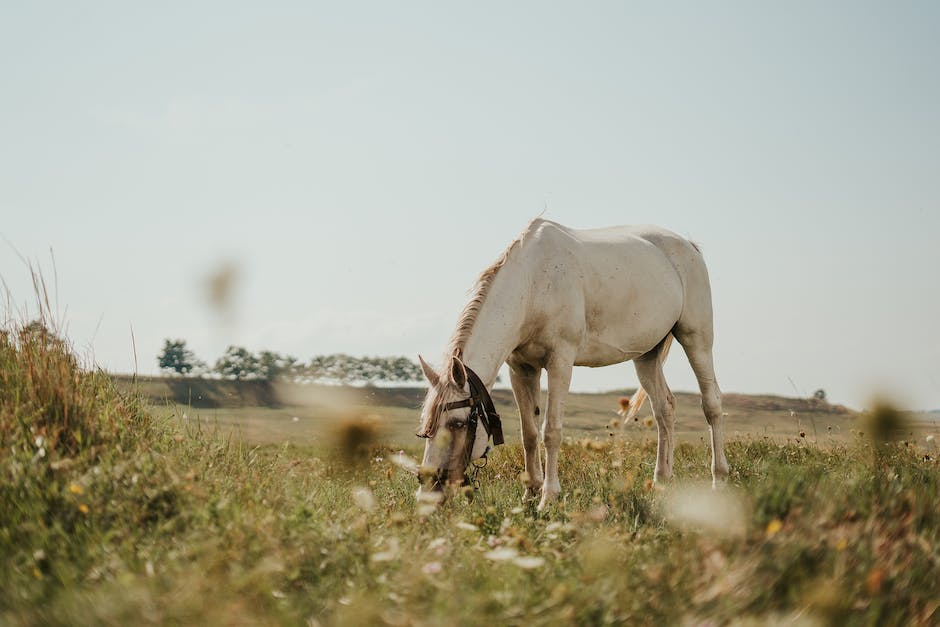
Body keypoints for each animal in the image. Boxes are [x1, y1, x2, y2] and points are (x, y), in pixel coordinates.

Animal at [414, 217, 732, 510]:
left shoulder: (560, 362)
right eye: (427, 426)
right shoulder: (521, 369)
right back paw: (661, 482)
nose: (428, 489)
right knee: (664, 409)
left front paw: (548, 498)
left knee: (711, 404)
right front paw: (529, 494)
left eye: (456, 424)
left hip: (696, 338)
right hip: (647, 355)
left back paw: (719, 479)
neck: (533, 284)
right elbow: (530, 434)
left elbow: (551, 431)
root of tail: (688, 246)